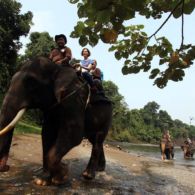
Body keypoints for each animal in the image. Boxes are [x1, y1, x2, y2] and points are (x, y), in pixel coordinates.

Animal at [0, 55, 112, 185]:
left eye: (31, 83)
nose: (6, 167)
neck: (58, 68)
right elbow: (47, 133)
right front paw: (43, 180)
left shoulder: (75, 97)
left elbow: (74, 133)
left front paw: (61, 176)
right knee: (94, 140)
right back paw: (100, 168)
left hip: (107, 117)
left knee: (98, 139)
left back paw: (88, 175)